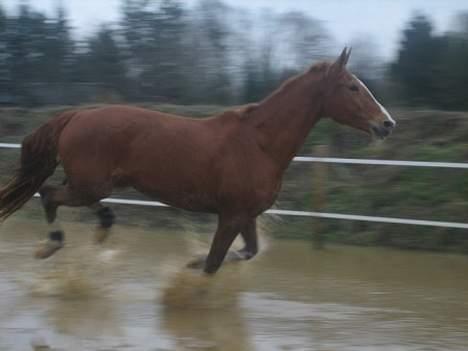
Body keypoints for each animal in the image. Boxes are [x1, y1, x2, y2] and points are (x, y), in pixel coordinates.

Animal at [0, 48, 394, 276]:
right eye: (353, 87)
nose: (386, 123)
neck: (259, 143)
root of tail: (76, 115)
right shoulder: (230, 215)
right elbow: (213, 264)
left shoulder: (246, 215)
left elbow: (245, 253)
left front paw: (190, 263)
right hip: (89, 183)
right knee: (49, 194)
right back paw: (51, 244)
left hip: (94, 183)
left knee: (72, 199)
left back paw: (101, 227)